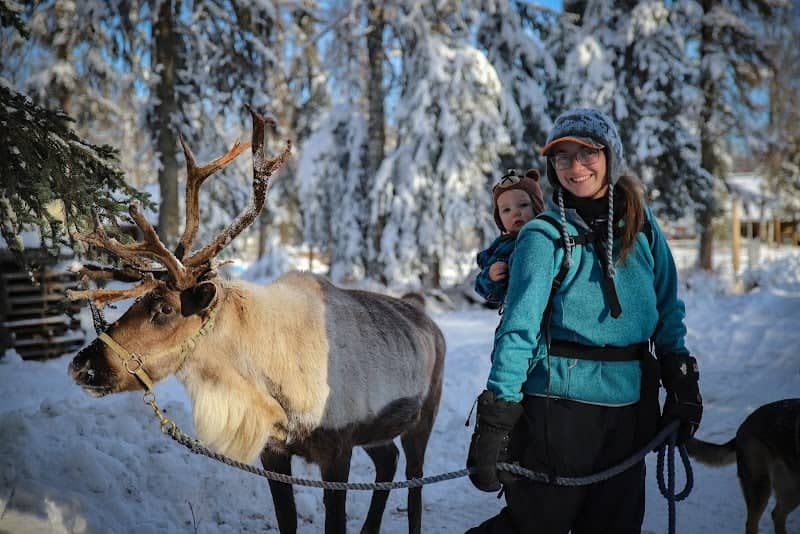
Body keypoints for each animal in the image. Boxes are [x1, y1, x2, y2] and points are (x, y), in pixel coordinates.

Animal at [66, 106, 446, 534]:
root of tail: (428, 319)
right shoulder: (275, 451)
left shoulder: (337, 448)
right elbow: (287, 521)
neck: (264, 380)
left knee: (413, 484)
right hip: (378, 433)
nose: (82, 365)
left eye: (164, 308)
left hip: (423, 417)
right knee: (388, 462)